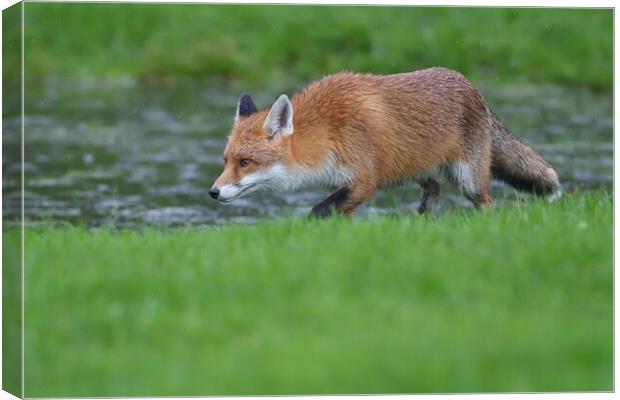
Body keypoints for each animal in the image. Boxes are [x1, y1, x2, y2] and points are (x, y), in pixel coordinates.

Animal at [209, 69, 560, 219]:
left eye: (245, 162)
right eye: (226, 161)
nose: (213, 192)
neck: (329, 133)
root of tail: (472, 87)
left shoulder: (365, 181)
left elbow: (318, 211)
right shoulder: (350, 187)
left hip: (469, 180)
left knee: (486, 202)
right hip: (416, 169)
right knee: (435, 188)